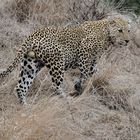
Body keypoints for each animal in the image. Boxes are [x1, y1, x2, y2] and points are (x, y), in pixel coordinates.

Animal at [0, 17, 130, 104]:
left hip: (31, 65)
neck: (107, 35)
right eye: (120, 30)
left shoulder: (93, 61)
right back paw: (66, 98)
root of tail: (33, 34)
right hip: (57, 61)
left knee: (20, 86)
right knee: (56, 85)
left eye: (128, 30)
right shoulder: (84, 51)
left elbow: (92, 72)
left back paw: (25, 106)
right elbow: (85, 73)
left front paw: (81, 84)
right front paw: (81, 86)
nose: (128, 41)